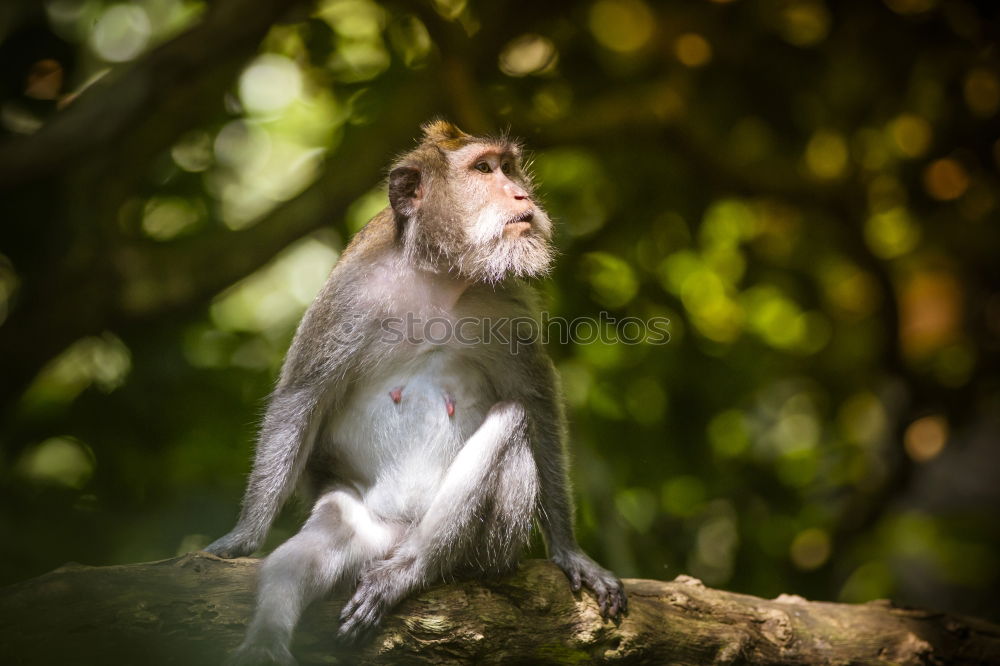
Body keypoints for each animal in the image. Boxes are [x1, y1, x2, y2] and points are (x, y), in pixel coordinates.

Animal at [203, 120, 624, 664]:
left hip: (485, 549)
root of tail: (394, 538)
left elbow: (536, 401)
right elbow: (301, 397)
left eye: (509, 167)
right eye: (483, 168)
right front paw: (244, 535)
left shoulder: (508, 304)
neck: (437, 277)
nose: (521, 194)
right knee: (302, 556)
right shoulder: (346, 295)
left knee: (510, 423)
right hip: (358, 517)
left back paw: (409, 573)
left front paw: (570, 553)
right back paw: (267, 638)